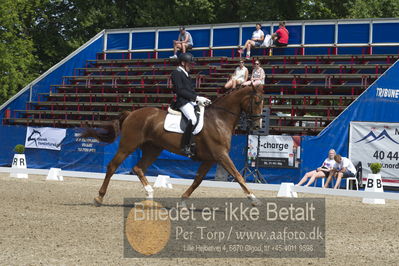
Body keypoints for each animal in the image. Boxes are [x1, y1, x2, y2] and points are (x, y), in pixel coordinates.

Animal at [81, 84, 264, 206]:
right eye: (257, 101)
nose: (257, 127)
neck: (219, 118)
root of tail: (131, 113)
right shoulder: (220, 155)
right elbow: (238, 176)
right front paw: (254, 199)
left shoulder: (210, 158)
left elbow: (198, 180)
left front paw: (182, 201)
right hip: (128, 146)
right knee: (112, 166)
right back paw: (99, 197)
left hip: (153, 149)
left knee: (138, 168)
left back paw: (149, 194)